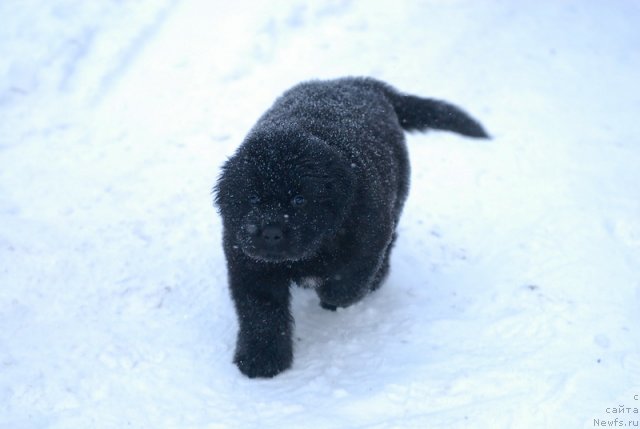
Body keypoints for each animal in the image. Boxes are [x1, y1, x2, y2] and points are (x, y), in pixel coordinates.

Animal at [212, 77, 488, 378]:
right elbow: (261, 314)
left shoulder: (368, 237)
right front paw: (261, 359)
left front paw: (331, 295)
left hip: (396, 197)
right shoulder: (249, 264)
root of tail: (360, 81)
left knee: (388, 246)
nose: (270, 232)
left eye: (300, 200)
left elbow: (349, 282)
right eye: (252, 198)